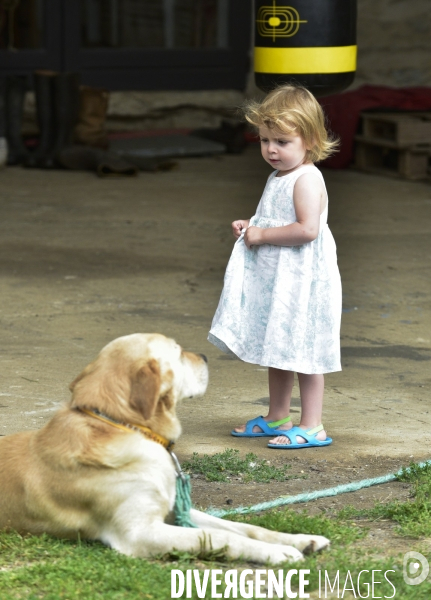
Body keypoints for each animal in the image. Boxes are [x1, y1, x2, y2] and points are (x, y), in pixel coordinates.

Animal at [0, 332, 330, 564]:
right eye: (178, 352)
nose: (205, 356)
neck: (122, 425)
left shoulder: (174, 508)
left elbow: (239, 526)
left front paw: (299, 539)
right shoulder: (140, 533)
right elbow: (217, 536)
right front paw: (278, 553)